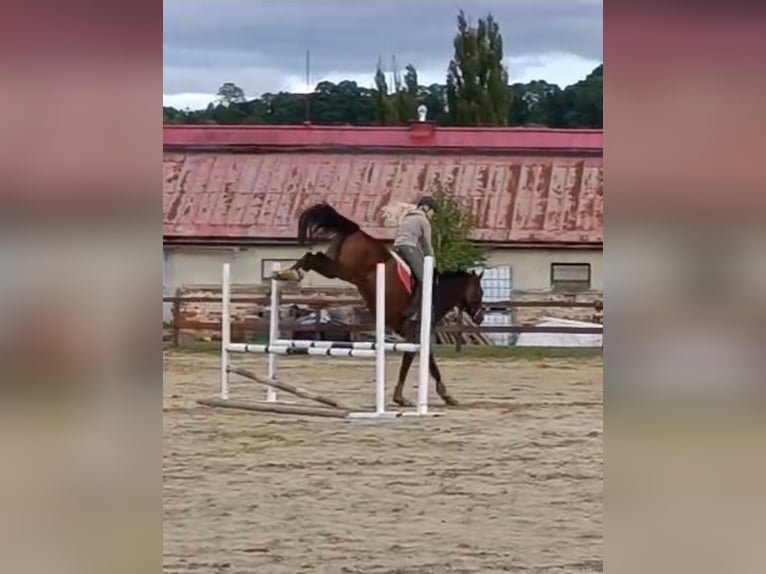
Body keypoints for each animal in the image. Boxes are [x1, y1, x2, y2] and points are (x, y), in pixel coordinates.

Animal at [272, 202, 486, 410]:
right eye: (480, 293)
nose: (480, 318)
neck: (436, 292)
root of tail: (355, 229)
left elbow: (420, 362)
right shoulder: (416, 333)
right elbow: (420, 363)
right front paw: (424, 396)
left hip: (334, 267)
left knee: (312, 256)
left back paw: (286, 273)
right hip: (344, 270)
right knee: (313, 257)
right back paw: (291, 273)